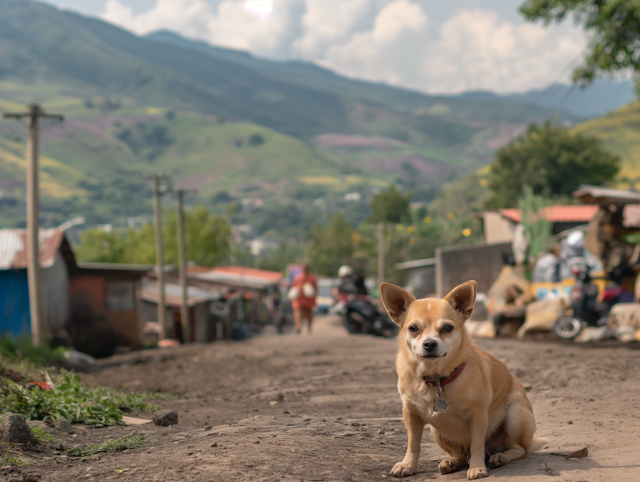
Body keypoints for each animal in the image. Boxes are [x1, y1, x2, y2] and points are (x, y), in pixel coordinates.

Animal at [380, 280, 544, 480]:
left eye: (447, 328)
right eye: (413, 329)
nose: (429, 343)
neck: (437, 378)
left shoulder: (478, 415)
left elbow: (477, 444)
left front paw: (477, 468)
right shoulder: (410, 414)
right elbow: (413, 444)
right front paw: (408, 465)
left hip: (515, 414)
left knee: (520, 449)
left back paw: (501, 457)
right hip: (436, 430)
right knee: (460, 453)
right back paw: (451, 462)